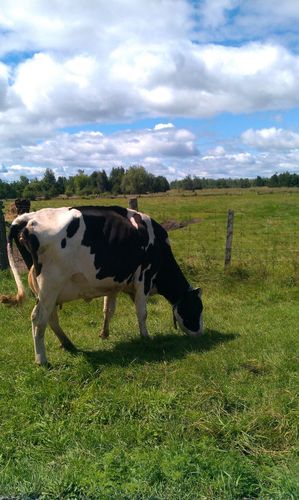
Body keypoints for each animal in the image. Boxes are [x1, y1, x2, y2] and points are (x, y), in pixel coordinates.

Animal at [0, 205, 204, 366]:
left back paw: (67, 343)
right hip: (50, 285)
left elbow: (108, 309)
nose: (200, 333)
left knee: (50, 318)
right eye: (197, 308)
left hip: (45, 290)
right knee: (38, 318)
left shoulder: (113, 284)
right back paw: (41, 359)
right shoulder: (144, 278)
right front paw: (146, 337)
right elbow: (142, 312)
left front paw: (104, 333)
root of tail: (28, 217)